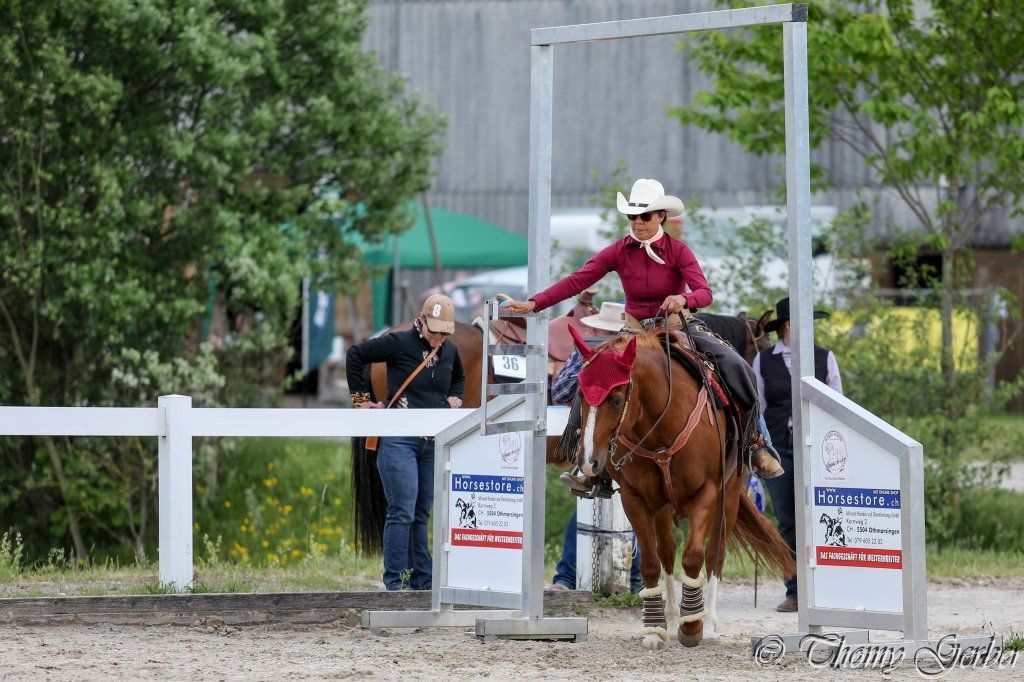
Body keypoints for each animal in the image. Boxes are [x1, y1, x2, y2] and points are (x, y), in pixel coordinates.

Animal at [567, 326, 795, 649]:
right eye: (580, 396)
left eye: (616, 398)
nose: (588, 462)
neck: (661, 423)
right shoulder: (634, 499)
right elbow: (652, 563)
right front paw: (655, 629)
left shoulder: (707, 493)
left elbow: (694, 556)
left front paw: (693, 626)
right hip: (663, 506)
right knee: (666, 552)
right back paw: (672, 618)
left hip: (729, 497)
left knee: (715, 555)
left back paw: (707, 624)